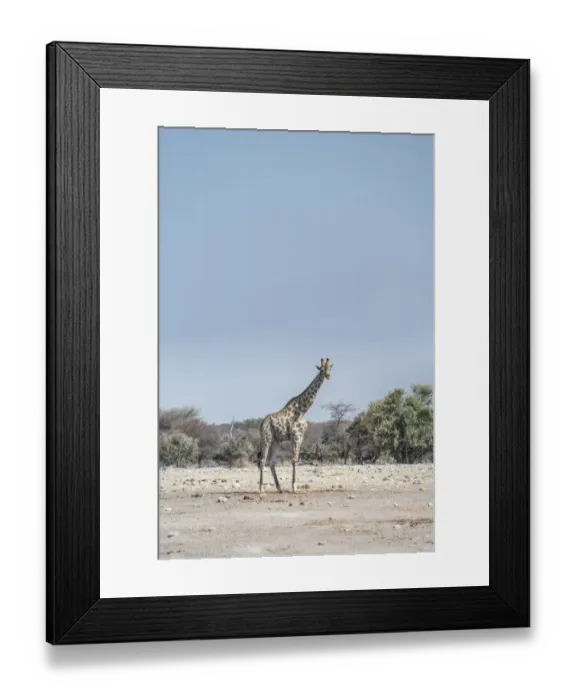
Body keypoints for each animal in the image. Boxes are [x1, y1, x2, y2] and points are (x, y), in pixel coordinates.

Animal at [257, 358, 333, 494]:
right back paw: (261, 489)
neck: (303, 409)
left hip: (276, 442)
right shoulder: (297, 435)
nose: (328, 376)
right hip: (266, 438)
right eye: (321, 369)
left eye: (329, 368)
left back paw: (280, 489)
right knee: (262, 461)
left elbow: (295, 459)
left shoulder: (298, 436)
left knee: (271, 462)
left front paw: (293, 487)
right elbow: (295, 459)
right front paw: (294, 487)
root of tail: (261, 424)